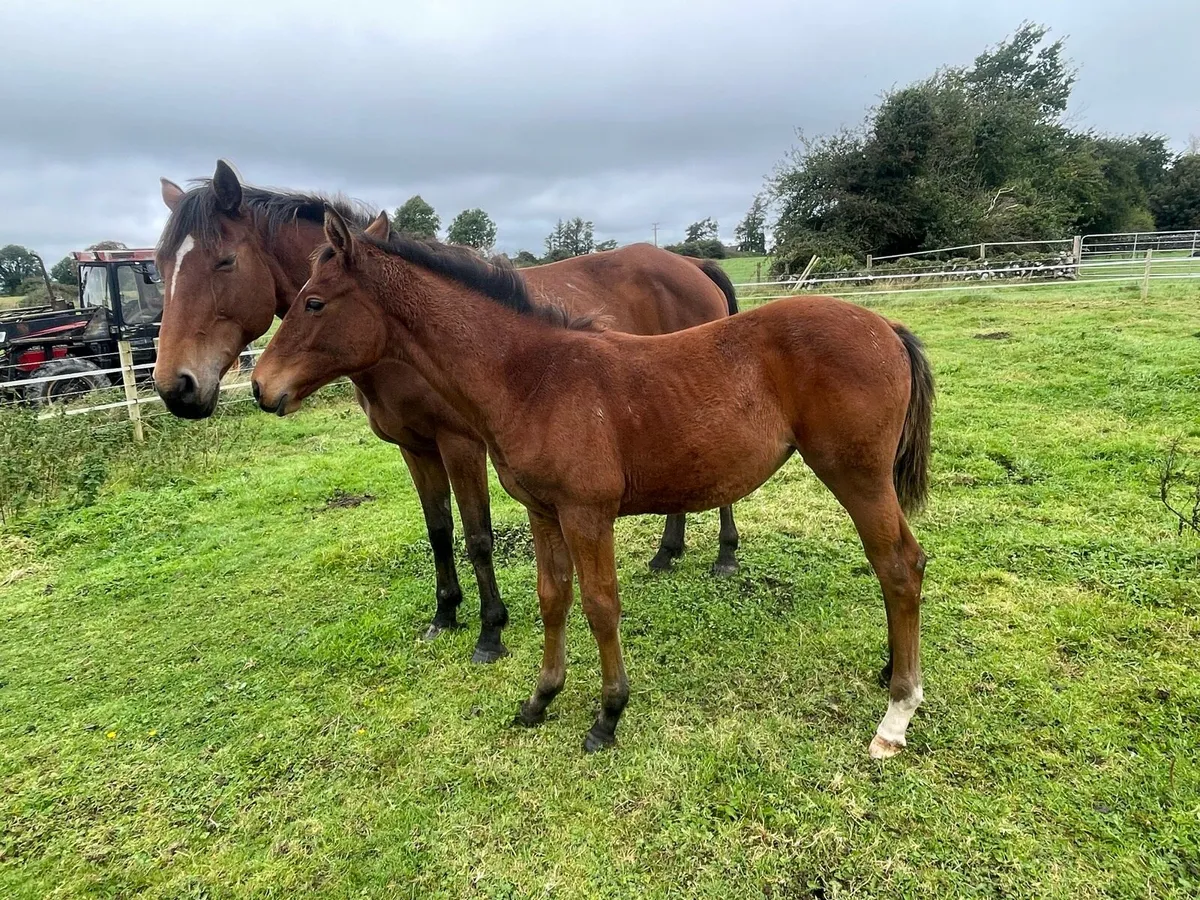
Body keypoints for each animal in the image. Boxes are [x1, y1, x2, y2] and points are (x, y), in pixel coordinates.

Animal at [152, 161, 742, 665]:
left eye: (224, 260)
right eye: (158, 269)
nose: (176, 387)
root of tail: (691, 263)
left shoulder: (460, 445)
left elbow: (477, 535)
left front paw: (490, 632)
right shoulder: (415, 448)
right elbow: (438, 530)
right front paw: (445, 614)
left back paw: (725, 555)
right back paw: (668, 552)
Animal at [251, 207, 935, 759]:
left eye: (315, 302)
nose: (261, 386)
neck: (533, 376)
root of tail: (888, 329)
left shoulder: (587, 512)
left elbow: (601, 607)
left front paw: (607, 716)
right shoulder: (543, 510)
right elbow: (553, 597)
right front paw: (540, 698)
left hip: (857, 475)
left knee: (899, 564)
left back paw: (896, 715)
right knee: (896, 565)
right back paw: (890, 672)